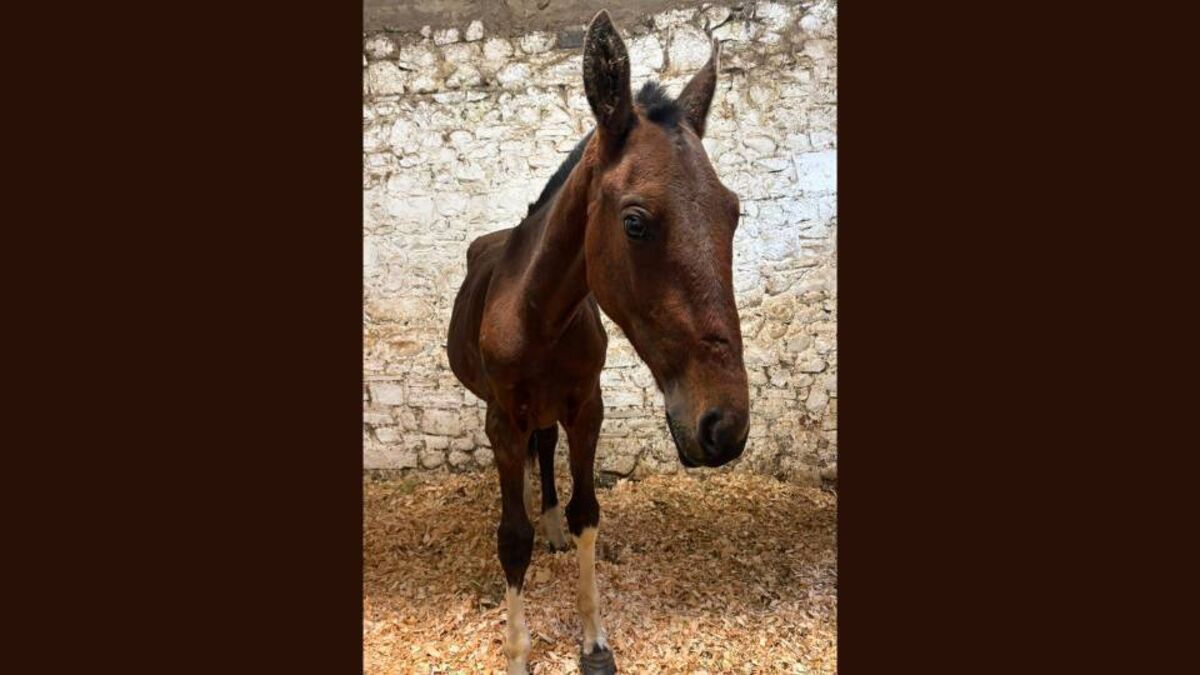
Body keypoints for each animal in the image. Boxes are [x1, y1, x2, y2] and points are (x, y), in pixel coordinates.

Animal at [446, 10, 749, 674]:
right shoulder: (501, 418)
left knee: (546, 448)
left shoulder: (588, 407)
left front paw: (594, 642)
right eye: (634, 222)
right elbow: (512, 538)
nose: (725, 427)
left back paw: (553, 526)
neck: (541, 317)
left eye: (733, 212)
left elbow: (587, 513)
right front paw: (517, 654)